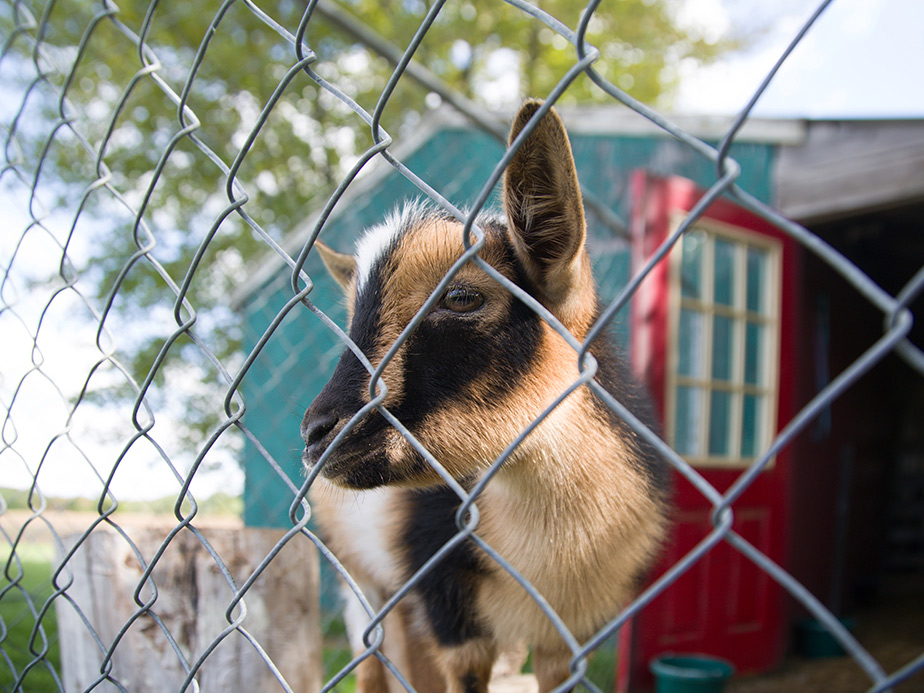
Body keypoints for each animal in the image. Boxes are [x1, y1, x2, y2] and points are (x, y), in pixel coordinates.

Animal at [304, 101, 672, 692]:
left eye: (461, 297)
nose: (316, 433)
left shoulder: (568, 635)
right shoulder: (449, 609)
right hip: (356, 571)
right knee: (373, 653)